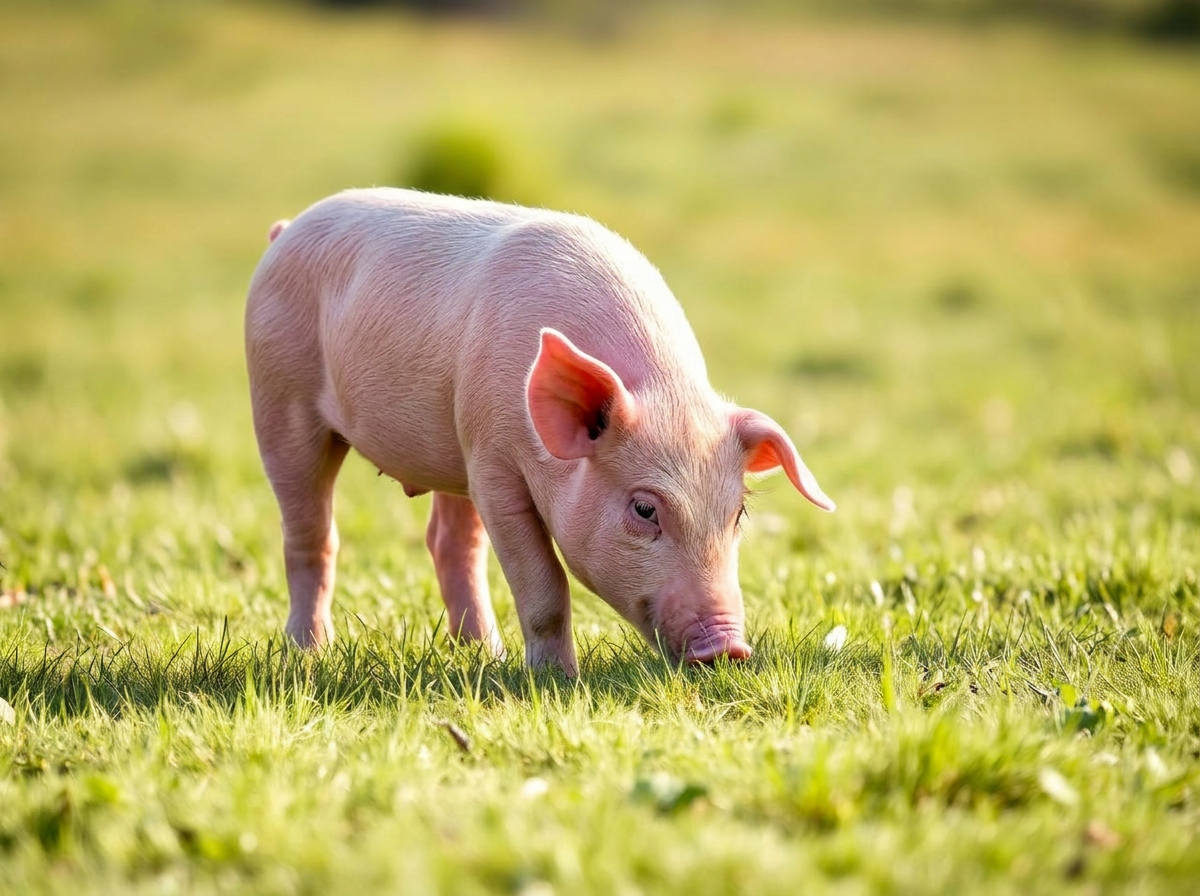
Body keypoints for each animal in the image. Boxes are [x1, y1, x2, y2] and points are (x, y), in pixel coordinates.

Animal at [245, 188, 834, 674]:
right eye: (645, 509)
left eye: (738, 513)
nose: (729, 647)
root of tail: (284, 231)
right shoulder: (494, 460)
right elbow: (545, 582)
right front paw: (558, 680)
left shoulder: (477, 445)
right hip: (279, 397)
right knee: (311, 533)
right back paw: (308, 652)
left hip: (455, 435)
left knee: (449, 542)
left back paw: (486, 653)